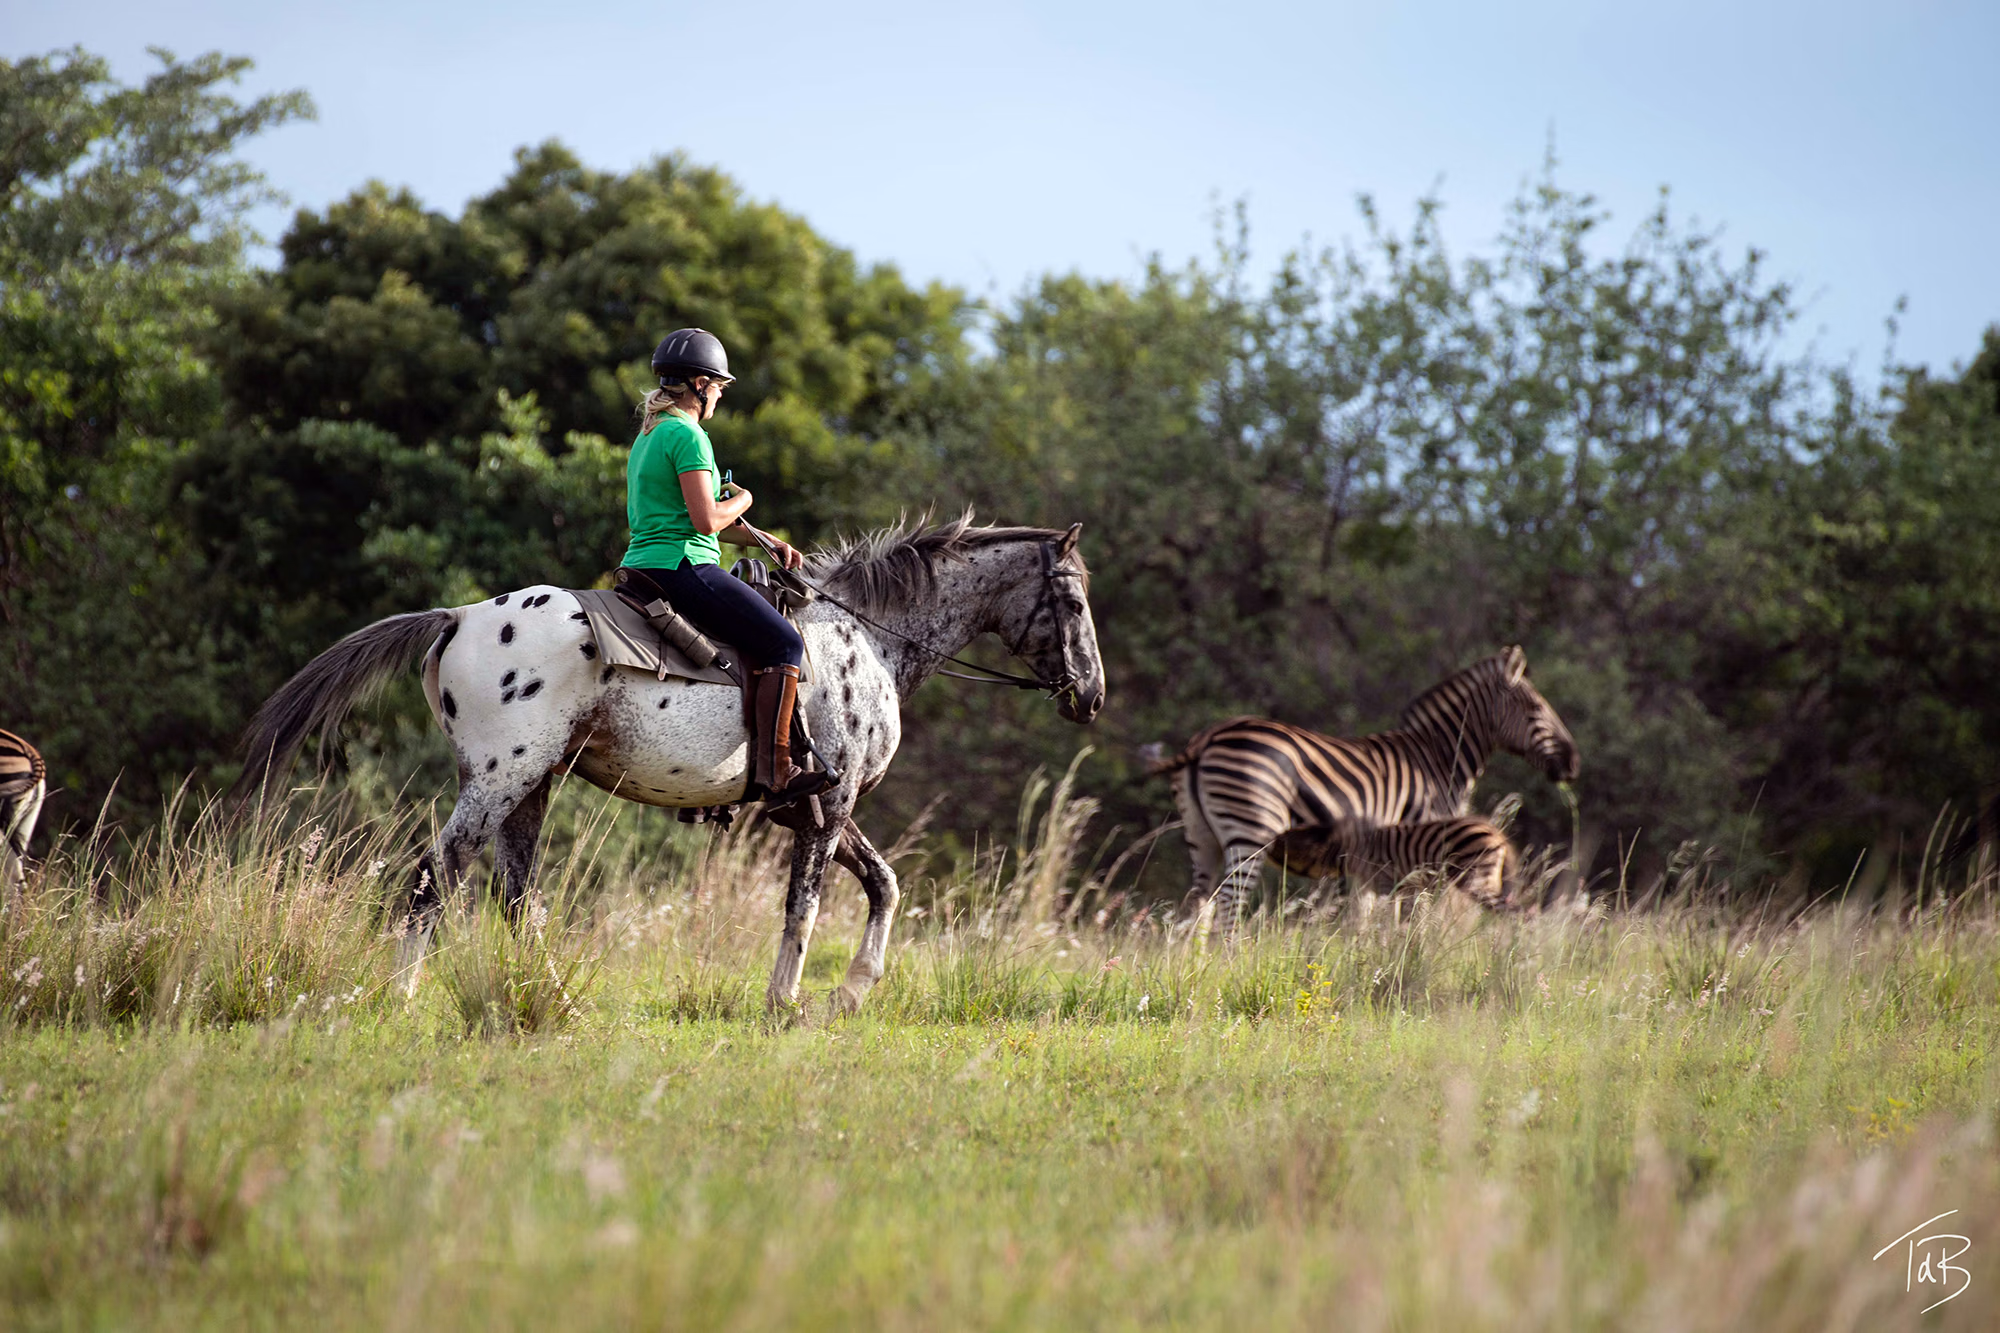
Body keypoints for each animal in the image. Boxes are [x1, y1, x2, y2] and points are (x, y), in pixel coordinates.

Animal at [235, 515, 1105, 1014]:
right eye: (1074, 601)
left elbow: (884, 885)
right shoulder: (829, 806)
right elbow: (806, 906)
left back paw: (552, 999)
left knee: (517, 898)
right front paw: (785, 1003)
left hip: (530, 786)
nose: (1091, 694)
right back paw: (403, 995)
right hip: (499, 780)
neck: (867, 637)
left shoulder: (822, 805)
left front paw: (852, 991)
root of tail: (457, 616)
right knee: (434, 877)